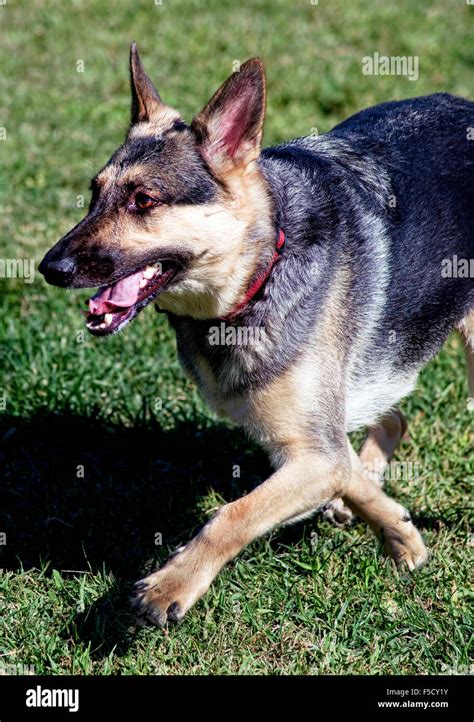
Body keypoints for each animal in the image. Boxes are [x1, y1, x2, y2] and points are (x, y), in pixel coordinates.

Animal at [39, 47, 472, 628]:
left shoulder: (311, 455)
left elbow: (232, 515)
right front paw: (400, 535)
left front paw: (173, 583)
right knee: (391, 418)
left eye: (144, 201)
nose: (49, 268)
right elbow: (346, 469)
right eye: (94, 194)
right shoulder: (307, 445)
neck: (259, 273)